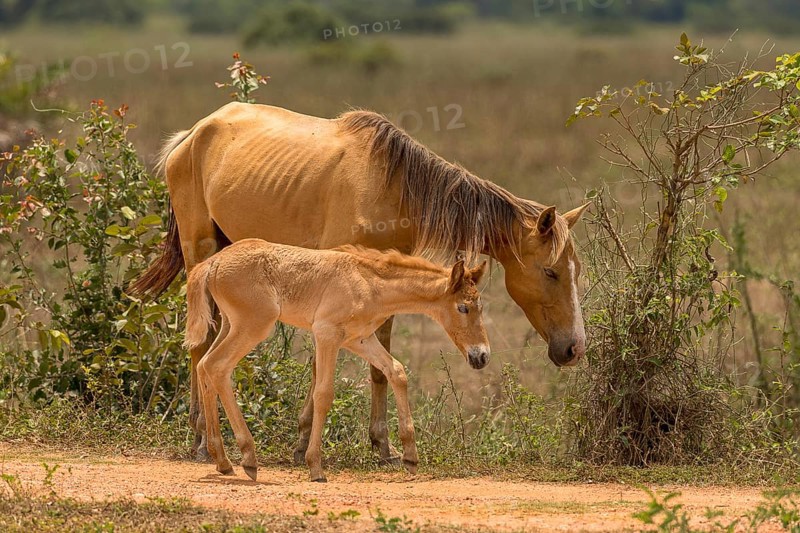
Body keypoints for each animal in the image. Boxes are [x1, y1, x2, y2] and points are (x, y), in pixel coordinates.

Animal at [185, 239, 490, 482]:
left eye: (480, 306)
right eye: (463, 307)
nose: (482, 356)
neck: (368, 283)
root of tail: (213, 262)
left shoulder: (360, 339)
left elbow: (397, 371)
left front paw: (410, 457)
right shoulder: (326, 334)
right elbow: (323, 394)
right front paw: (315, 466)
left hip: (229, 324)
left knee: (204, 366)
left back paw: (222, 461)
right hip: (253, 326)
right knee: (217, 367)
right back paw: (248, 458)